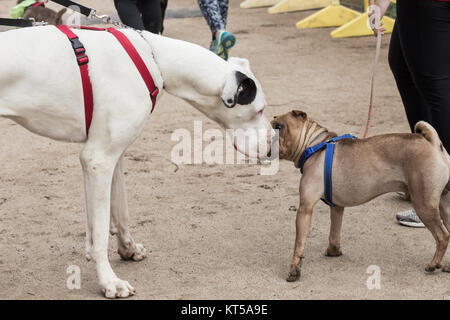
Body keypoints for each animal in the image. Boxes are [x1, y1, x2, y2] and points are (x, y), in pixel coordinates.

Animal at [0, 26, 270, 298]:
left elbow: (119, 212)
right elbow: (101, 231)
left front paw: (127, 248)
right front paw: (109, 281)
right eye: (259, 110)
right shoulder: (98, 159)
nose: (271, 146)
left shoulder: (112, 157)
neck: (155, 57)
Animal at [270, 110, 450, 282]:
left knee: (442, 236)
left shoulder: (305, 208)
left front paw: (294, 270)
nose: (267, 133)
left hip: (424, 204)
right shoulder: (337, 207)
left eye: (278, 127)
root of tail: (433, 143)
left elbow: (299, 244)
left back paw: (433, 264)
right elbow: (334, 231)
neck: (313, 145)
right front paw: (333, 250)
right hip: (444, 205)